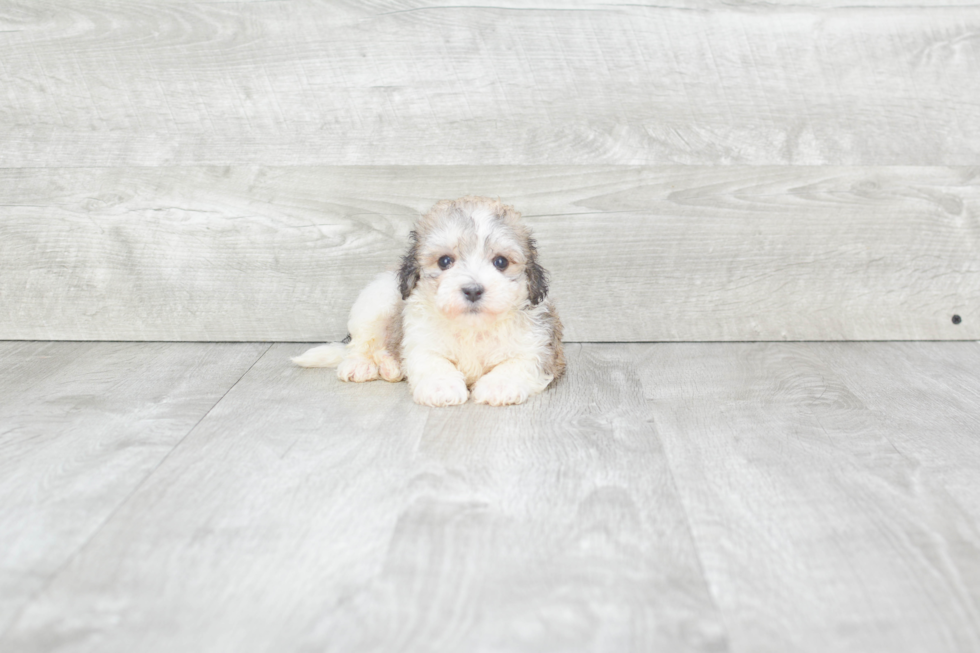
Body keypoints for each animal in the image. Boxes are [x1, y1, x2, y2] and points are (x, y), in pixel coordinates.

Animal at [290, 196, 564, 404]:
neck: (472, 328)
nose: (473, 290)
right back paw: (363, 365)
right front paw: (442, 387)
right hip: (375, 302)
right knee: (361, 344)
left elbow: (517, 364)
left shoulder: (539, 348)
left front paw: (499, 385)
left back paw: (390, 366)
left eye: (500, 262)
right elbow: (433, 361)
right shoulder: (421, 341)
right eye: (445, 261)